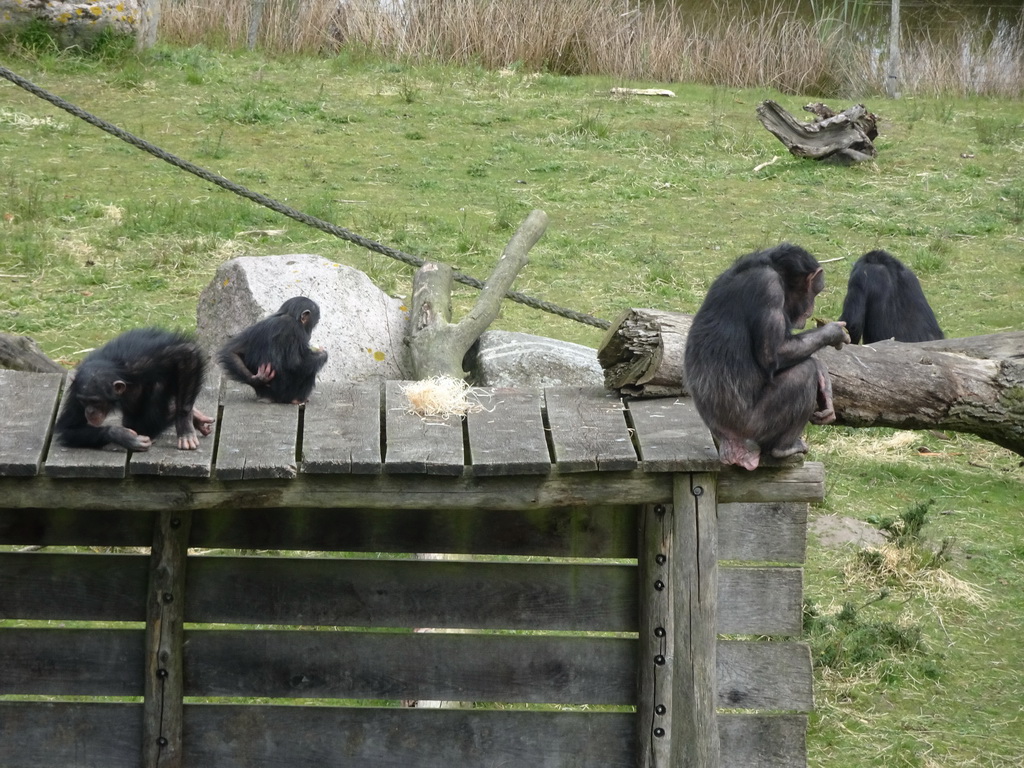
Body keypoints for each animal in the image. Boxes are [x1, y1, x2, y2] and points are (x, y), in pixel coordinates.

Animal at [55, 329, 214, 450]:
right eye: (84, 401)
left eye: (96, 402)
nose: (90, 411)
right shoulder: (77, 388)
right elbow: (68, 428)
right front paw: (123, 436)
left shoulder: (142, 360)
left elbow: (186, 353)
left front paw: (184, 426)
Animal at [684, 243, 851, 473]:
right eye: (816, 291)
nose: (812, 308)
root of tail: (731, 447)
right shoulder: (769, 288)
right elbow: (775, 353)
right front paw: (833, 333)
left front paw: (825, 380)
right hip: (752, 428)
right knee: (803, 372)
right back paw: (786, 448)